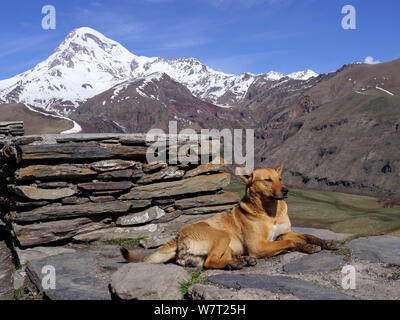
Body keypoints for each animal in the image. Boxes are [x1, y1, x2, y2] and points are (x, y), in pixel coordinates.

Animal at [120, 164, 340, 268]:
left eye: (280, 178)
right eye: (267, 180)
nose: (286, 191)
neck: (271, 212)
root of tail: (178, 236)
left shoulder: (283, 233)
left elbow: (309, 235)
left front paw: (325, 242)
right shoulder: (258, 246)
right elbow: (291, 243)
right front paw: (307, 247)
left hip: (225, 246)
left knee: (214, 260)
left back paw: (239, 262)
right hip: (222, 235)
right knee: (209, 263)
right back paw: (240, 263)